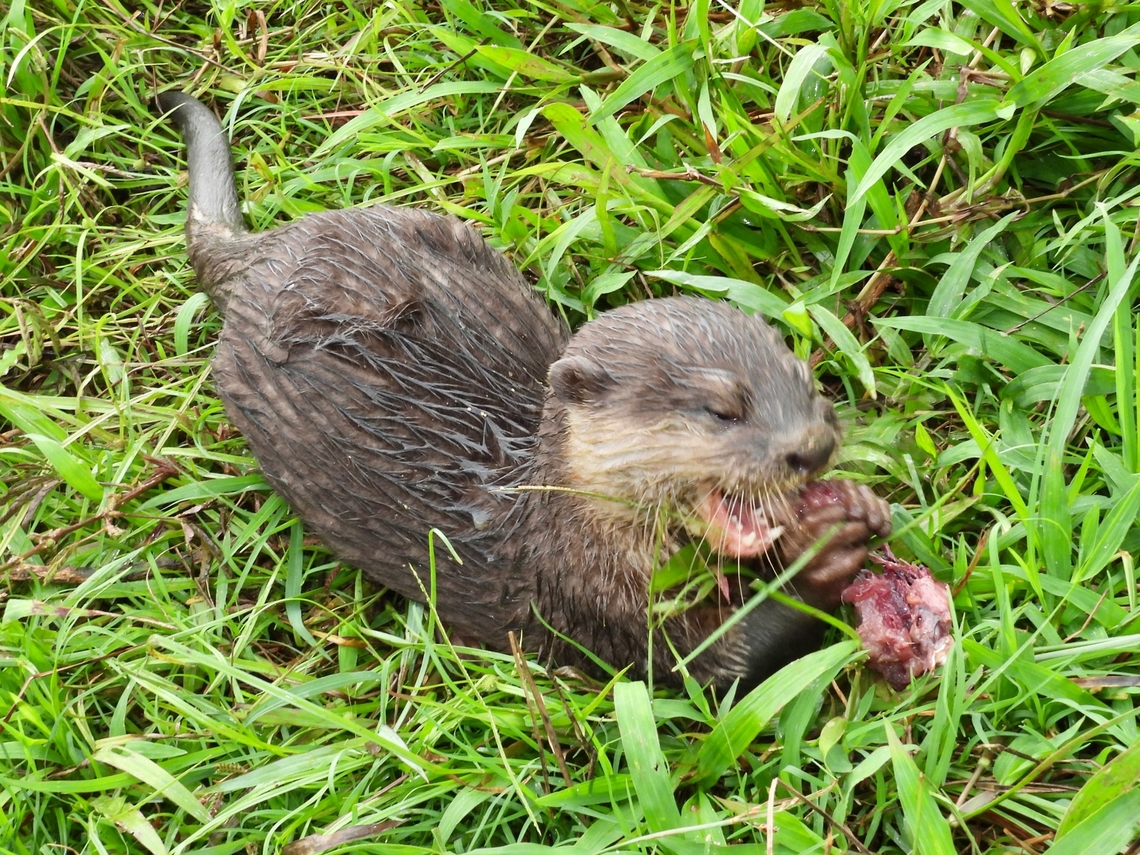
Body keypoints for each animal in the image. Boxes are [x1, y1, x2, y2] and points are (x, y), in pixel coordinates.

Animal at [157, 91, 890, 690]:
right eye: (721, 409)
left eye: (811, 387)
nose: (812, 447)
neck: (561, 530)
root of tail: (263, 255)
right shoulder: (590, 603)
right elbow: (718, 663)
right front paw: (824, 554)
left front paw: (855, 504)